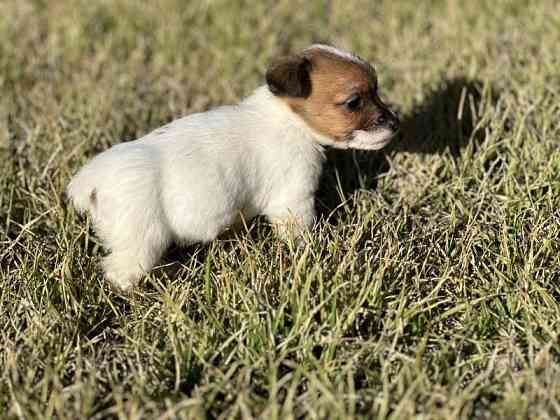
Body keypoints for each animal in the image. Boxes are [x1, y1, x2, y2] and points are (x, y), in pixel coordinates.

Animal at [68, 44, 398, 290]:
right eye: (354, 102)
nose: (395, 124)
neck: (290, 119)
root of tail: (90, 181)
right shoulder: (293, 201)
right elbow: (299, 235)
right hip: (142, 240)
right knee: (120, 273)